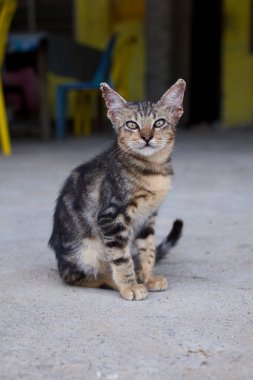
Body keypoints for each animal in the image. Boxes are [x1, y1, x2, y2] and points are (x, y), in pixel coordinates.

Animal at [48, 79, 186, 300]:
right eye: (131, 124)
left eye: (159, 123)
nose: (146, 137)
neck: (152, 168)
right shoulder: (111, 216)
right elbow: (122, 258)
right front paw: (130, 286)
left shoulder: (147, 217)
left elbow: (147, 250)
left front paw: (148, 276)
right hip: (84, 251)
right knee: (76, 276)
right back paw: (111, 280)